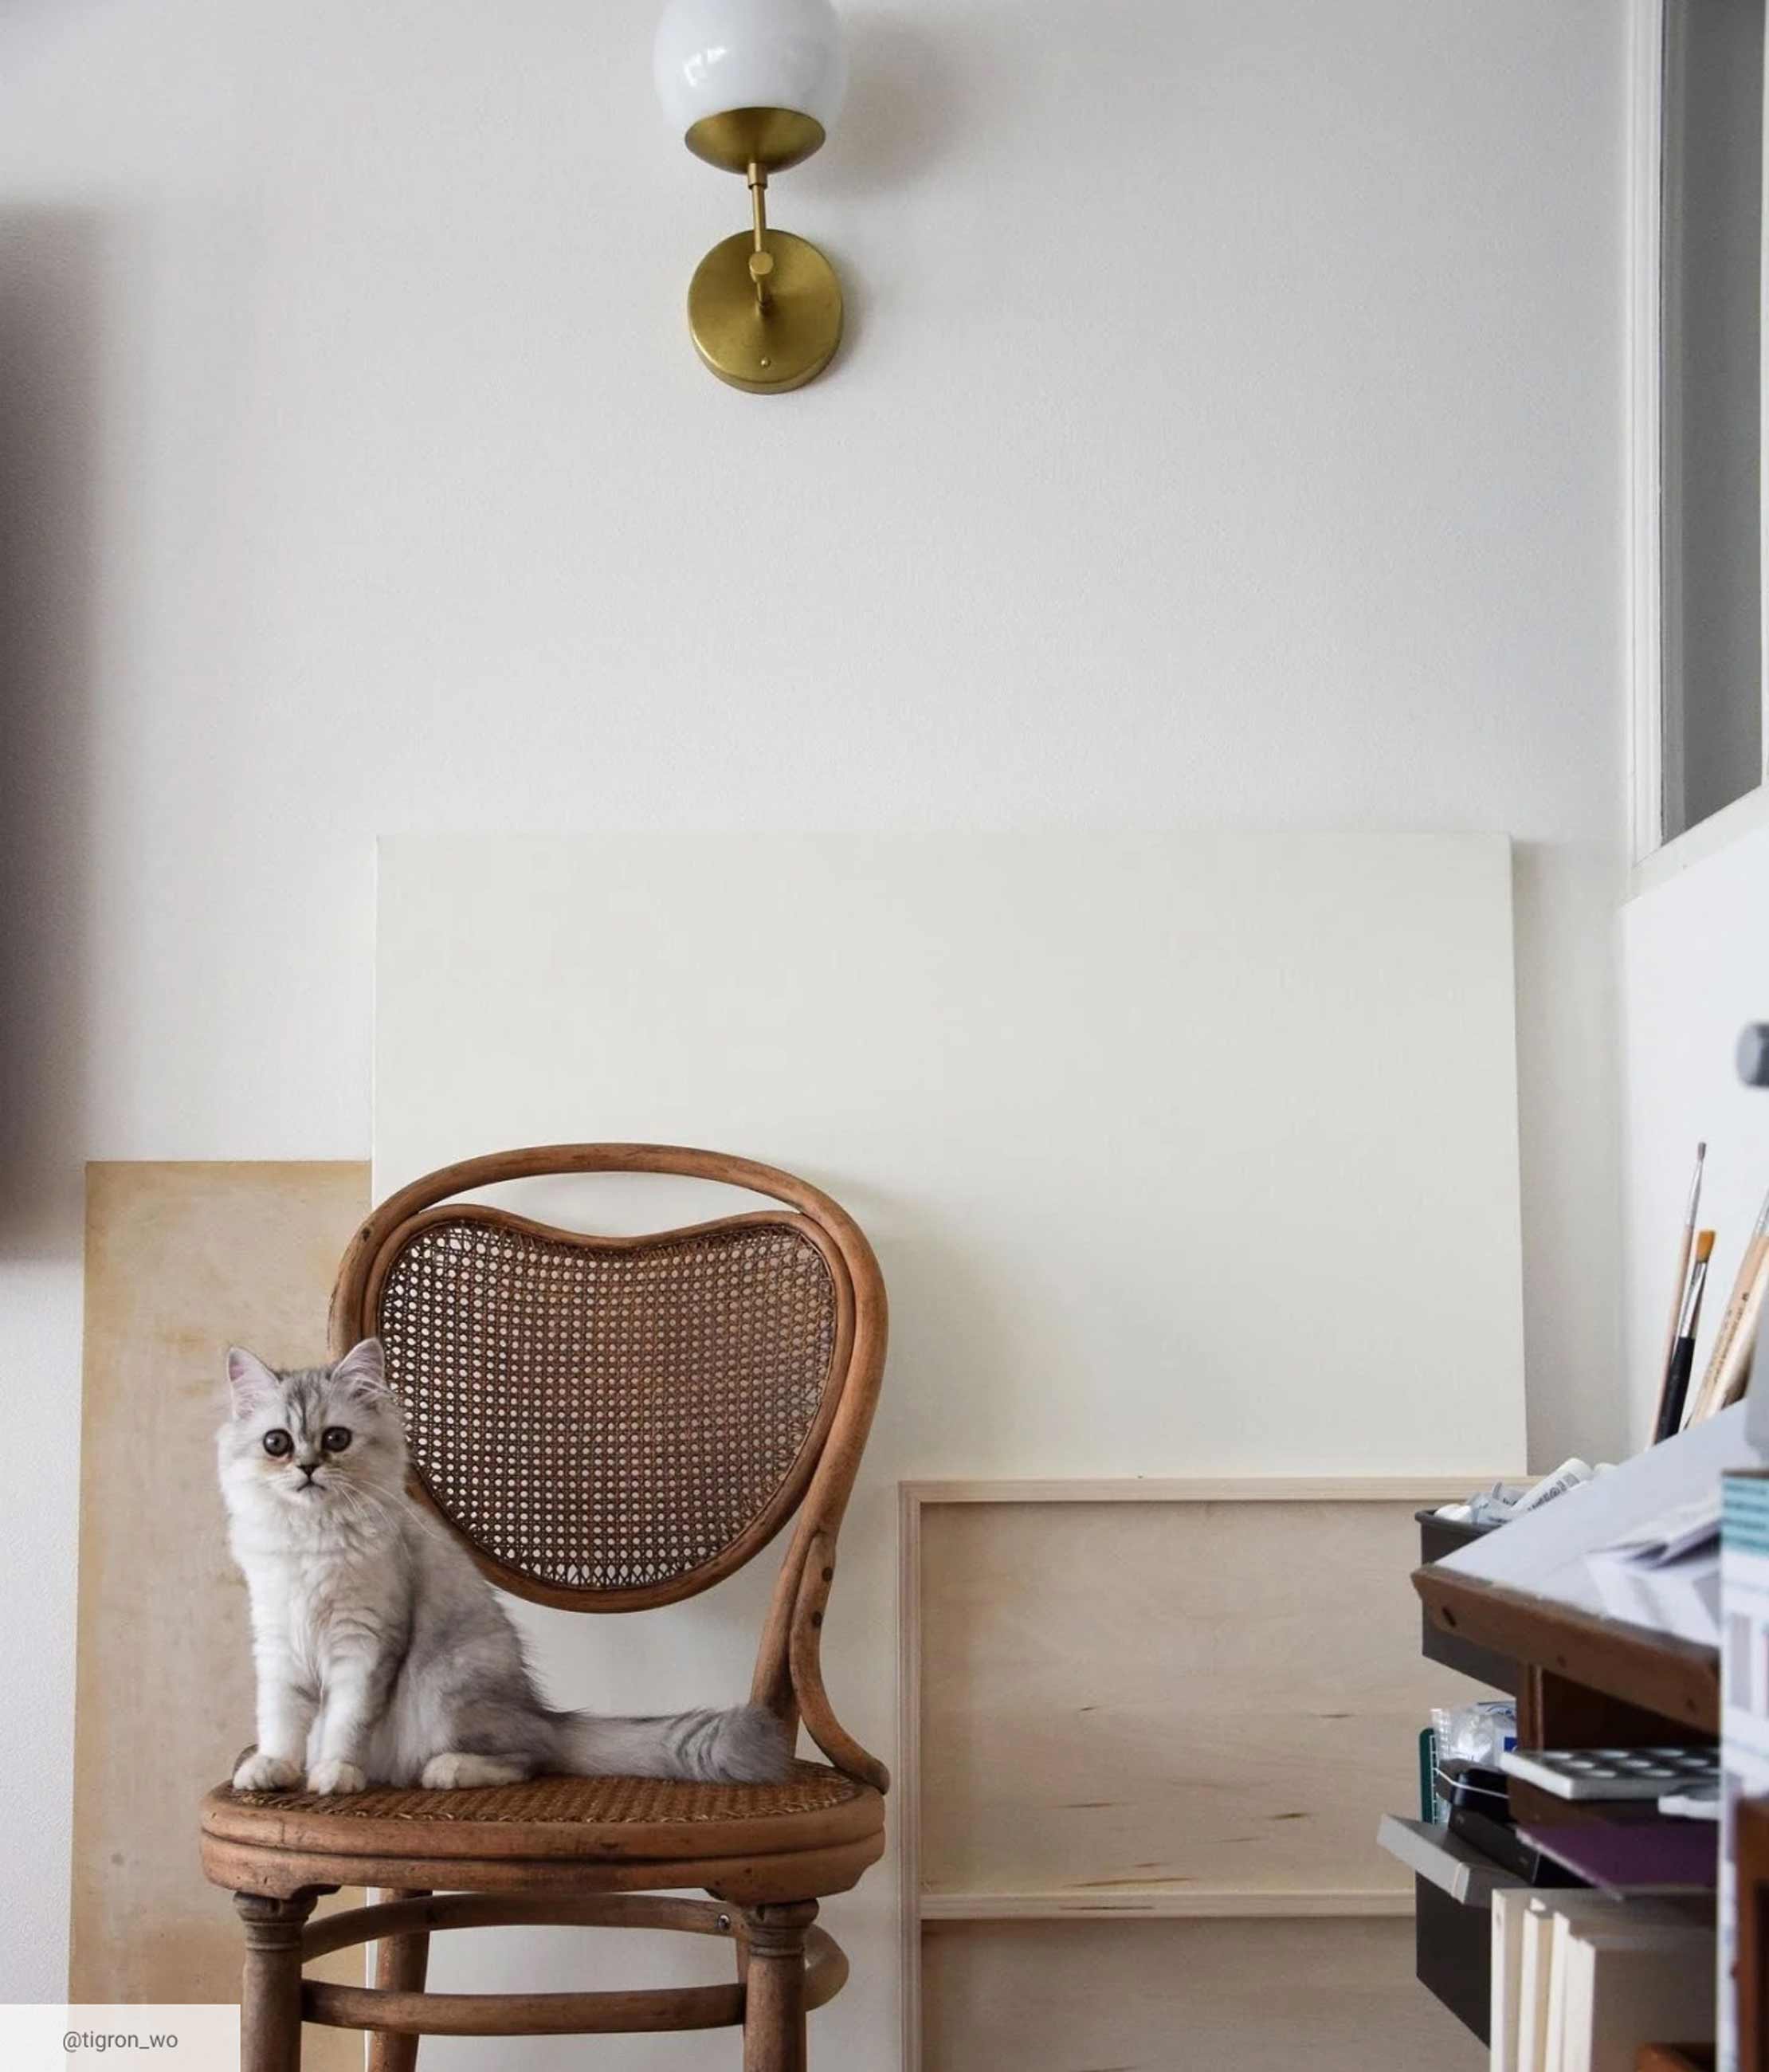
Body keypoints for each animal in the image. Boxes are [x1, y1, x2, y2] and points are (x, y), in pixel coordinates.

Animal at [216, 1334, 791, 1790]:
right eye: (277, 1443)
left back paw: (448, 1770)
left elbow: (344, 1722)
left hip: (447, 1685)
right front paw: (275, 1768)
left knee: (531, 1758)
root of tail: (542, 1712)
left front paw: (335, 1773)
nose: (308, 1468)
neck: (310, 1539)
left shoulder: (365, 1644)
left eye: (336, 1439)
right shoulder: (278, 1642)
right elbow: (280, 1719)